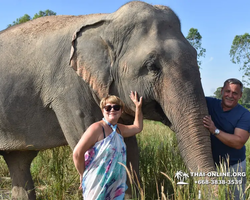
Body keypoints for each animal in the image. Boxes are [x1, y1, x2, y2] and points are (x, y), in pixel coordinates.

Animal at [0, 0, 215, 199]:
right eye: (152, 66)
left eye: (196, 55)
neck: (106, 22)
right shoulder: (67, 90)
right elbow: (84, 141)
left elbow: (130, 148)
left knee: (19, 161)